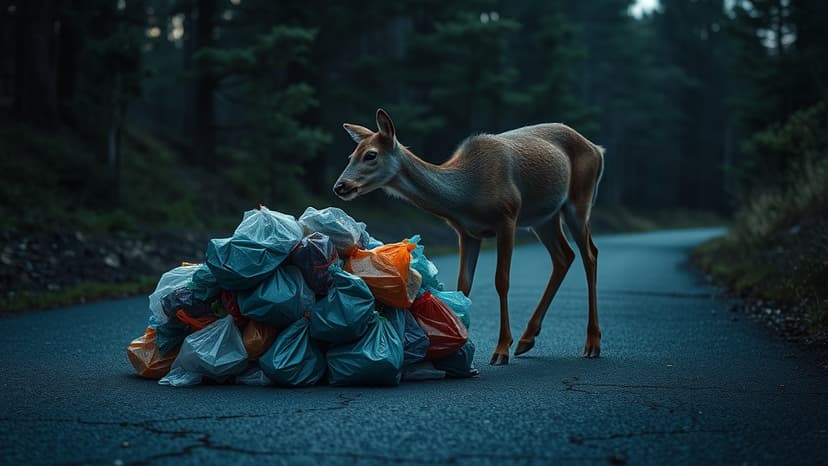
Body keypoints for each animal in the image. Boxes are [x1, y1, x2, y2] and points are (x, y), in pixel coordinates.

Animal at [333, 109, 604, 365]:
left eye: (370, 155)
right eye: (350, 156)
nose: (340, 186)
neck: (467, 195)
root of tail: (597, 149)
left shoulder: (507, 217)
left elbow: (501, 281)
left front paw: (501, 349)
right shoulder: (467, 232)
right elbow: (463, 285)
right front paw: (458, 343)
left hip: (579, 200)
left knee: (589, 254)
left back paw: (592, 343)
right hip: (543, 218)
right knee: (564, 256)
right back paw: (527, 339)